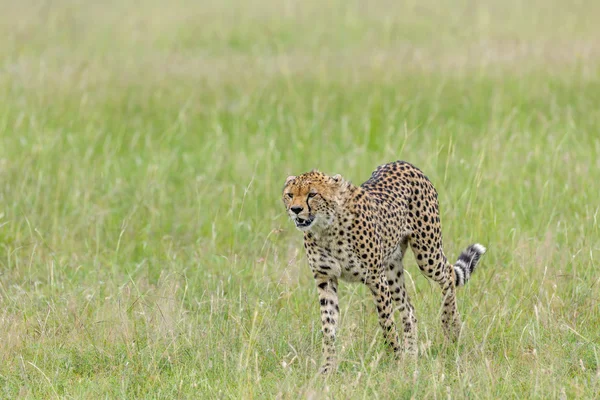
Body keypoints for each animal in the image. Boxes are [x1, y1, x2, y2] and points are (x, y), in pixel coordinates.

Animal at [284, 161, 486, 374]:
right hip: (392, 270)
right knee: (409, 310)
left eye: (312, 194)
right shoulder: (325, 279)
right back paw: (411, 357)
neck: (325, 228)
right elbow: (328, 326)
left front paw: (395, 359)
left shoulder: (375, 279)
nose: (295, 209)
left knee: (447, 275)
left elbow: (386, 321)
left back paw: (451, 327)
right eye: (289, 194)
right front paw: (327, 368)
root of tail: (402, 163)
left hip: (427, 254)